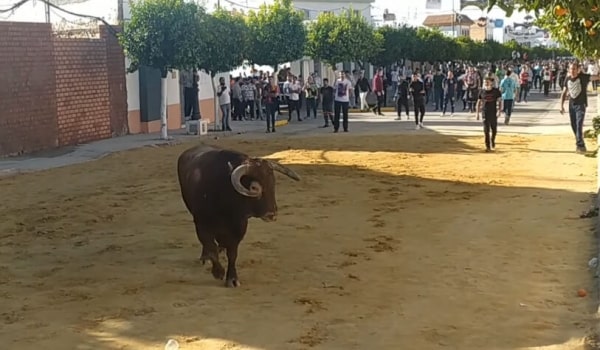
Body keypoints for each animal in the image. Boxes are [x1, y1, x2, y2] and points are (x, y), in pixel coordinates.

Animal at [177, 144, 300, 288]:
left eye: (273, 184)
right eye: (254, 187)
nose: (272, 214)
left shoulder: (239, 227)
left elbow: (232, 253)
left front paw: (232, 278)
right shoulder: (201, 224)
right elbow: (211, 248)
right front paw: (218, 272)